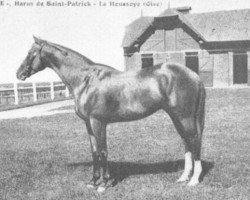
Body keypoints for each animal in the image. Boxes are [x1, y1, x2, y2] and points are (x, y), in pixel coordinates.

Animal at [16, 36, 206, 193]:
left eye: (31, 53)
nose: (19, 74)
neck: (86, 80)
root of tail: (194, 75)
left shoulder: (98, 122)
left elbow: (103, 151)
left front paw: (105, 184)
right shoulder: (88, 123)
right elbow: (94, 152)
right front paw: (93, 182)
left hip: (184, 117)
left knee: (194, 140)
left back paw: (194, 180)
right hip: (176, 117)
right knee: (186, 142)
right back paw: (183, 177)